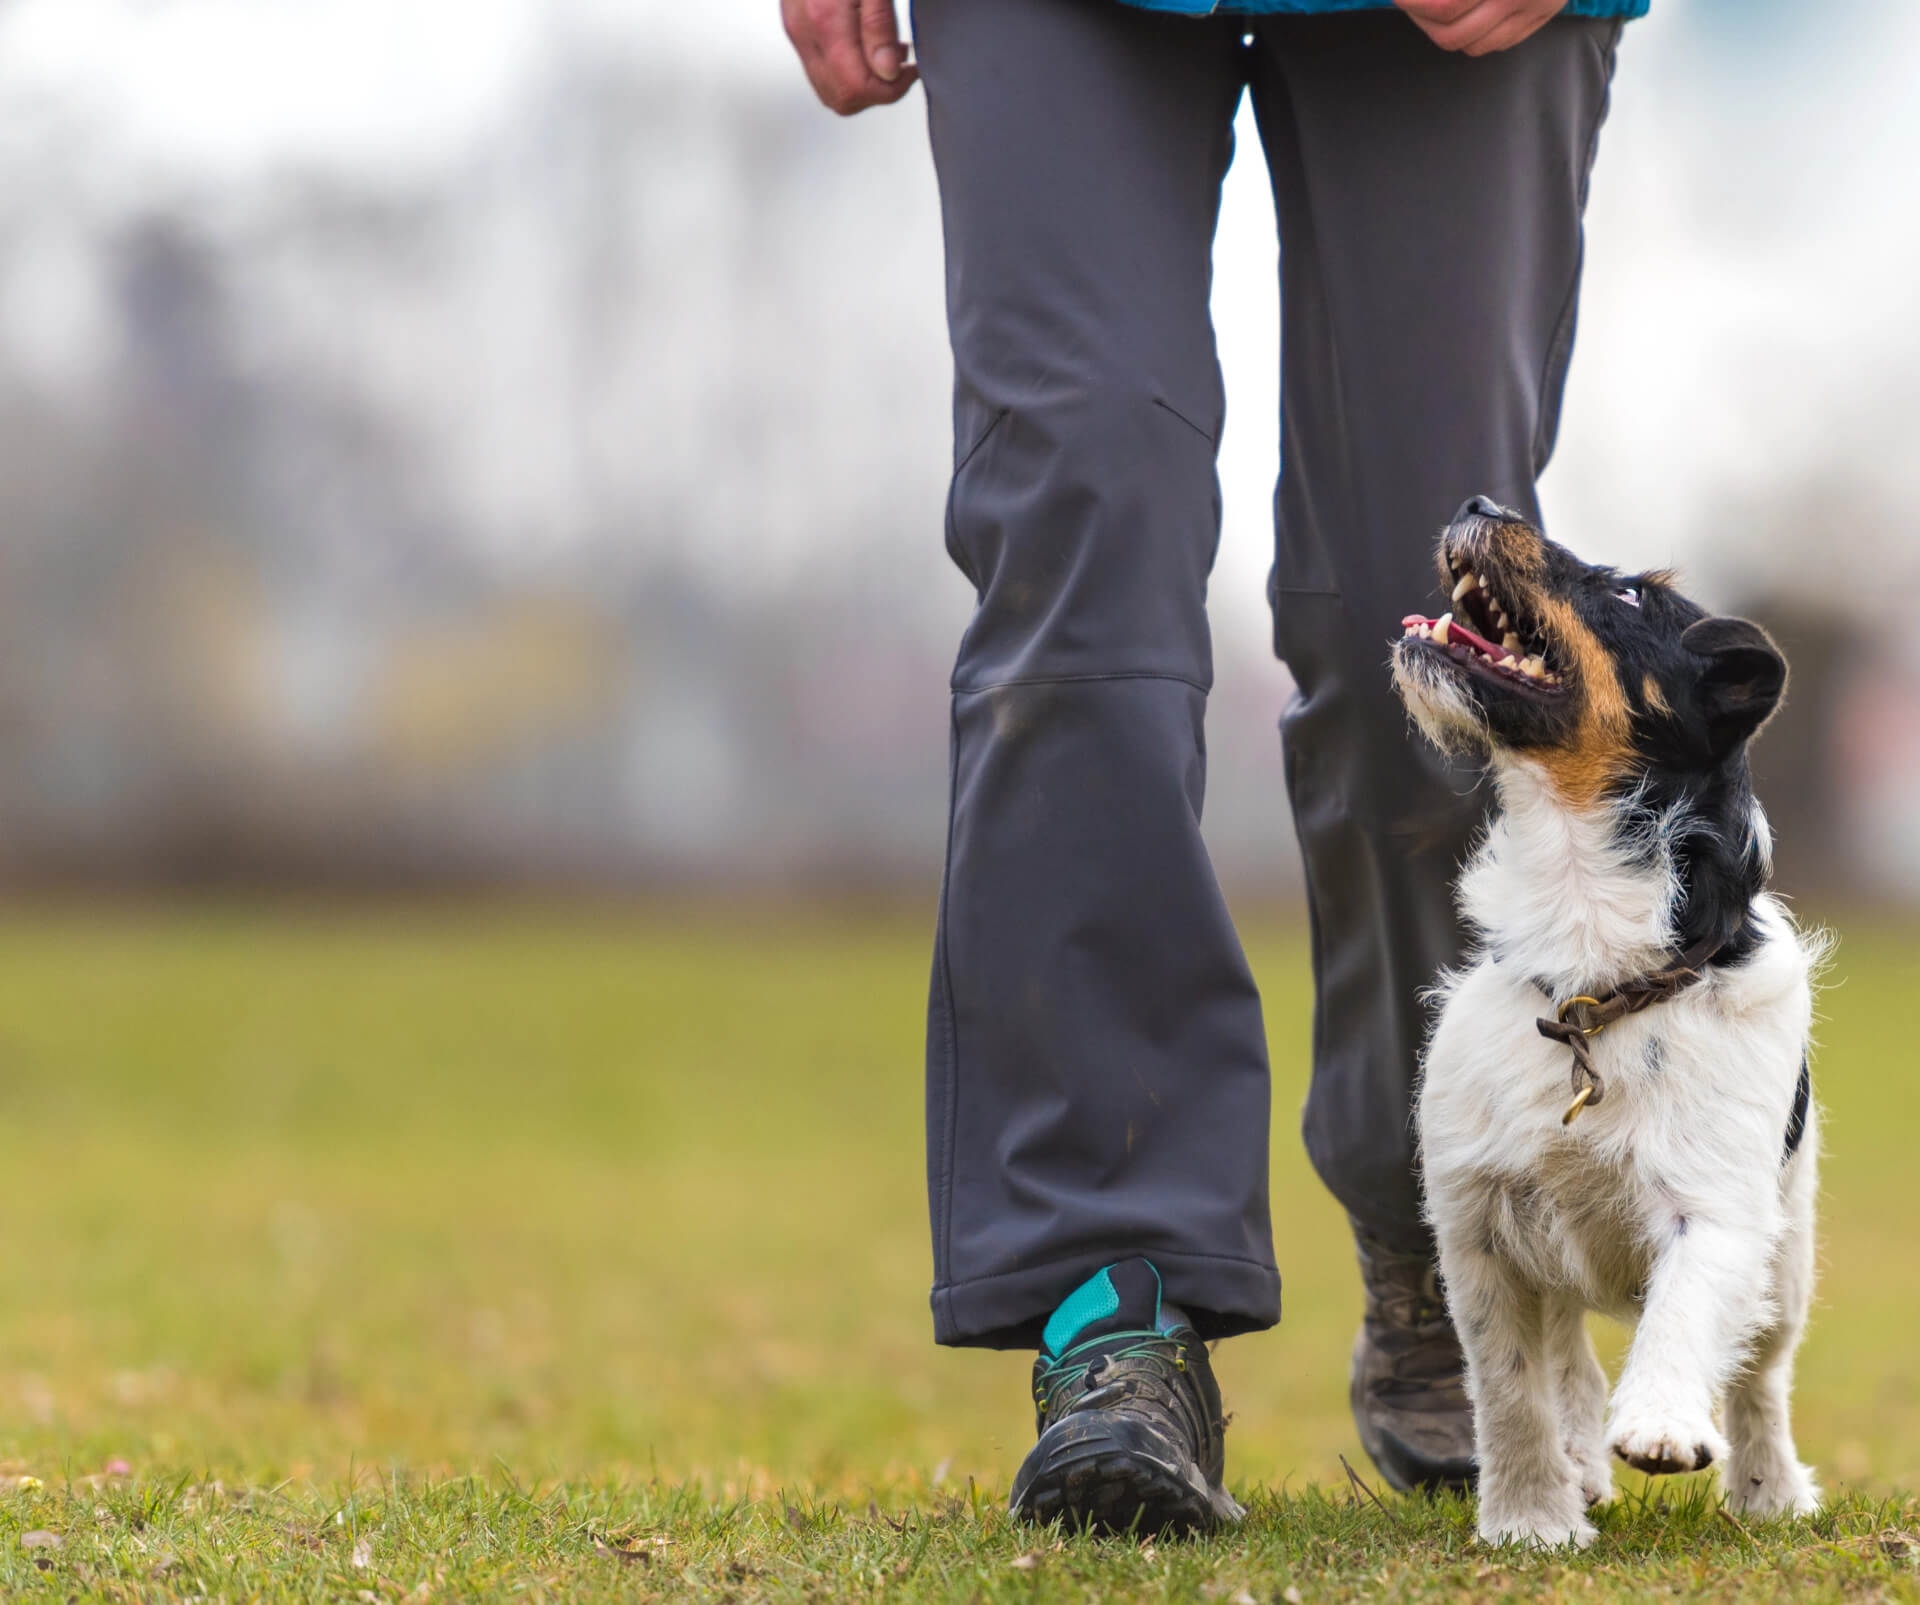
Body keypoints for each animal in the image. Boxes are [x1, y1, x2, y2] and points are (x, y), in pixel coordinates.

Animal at [1390, 495, 1820, 1551]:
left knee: (1760, 1378)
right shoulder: (1477, 1225)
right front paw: (1528, 1520)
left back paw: (1769, 1492)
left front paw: (1662, 1422)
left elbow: (1688, 1310)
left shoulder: (1718, 1204)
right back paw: (1582, 1464)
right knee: (1566, 1356)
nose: (1480, 503)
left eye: (1628, 596)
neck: (1593, 978)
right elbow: (1511, 1391)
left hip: (1787, 1251)